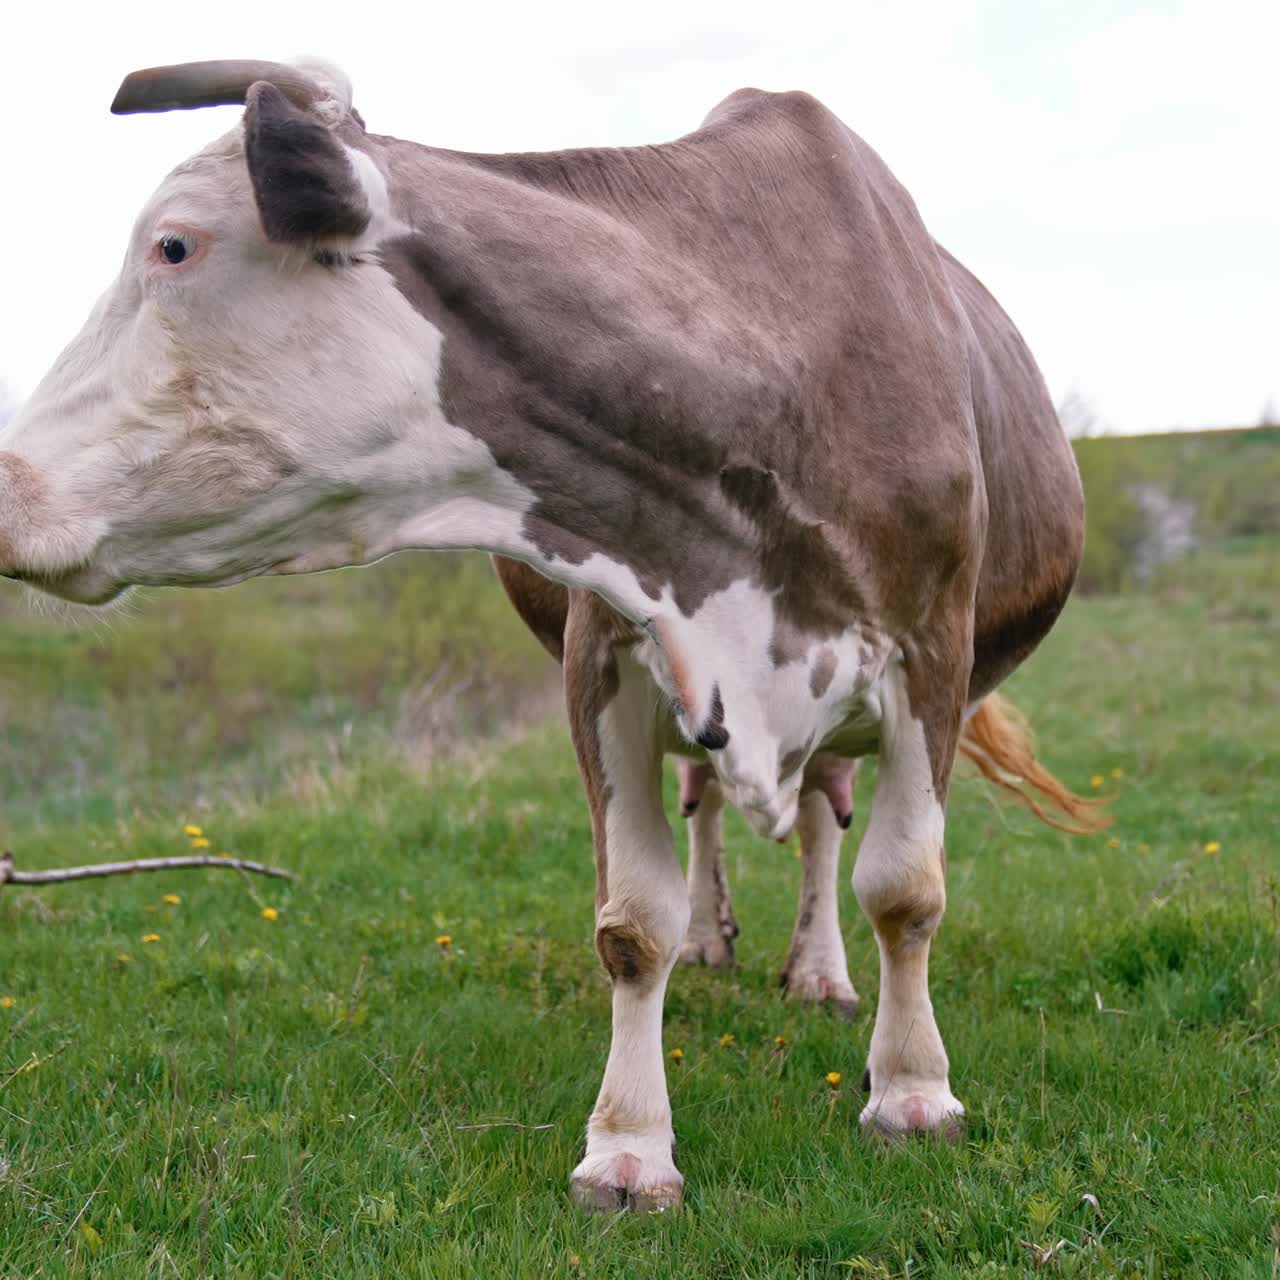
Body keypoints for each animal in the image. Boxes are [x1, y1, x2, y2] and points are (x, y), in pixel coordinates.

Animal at [0, 58, 1103, 1211]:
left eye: (172, 246)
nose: (6, 485)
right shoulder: (607, 657)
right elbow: (633, 919)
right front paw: (629, 1145)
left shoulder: (931, 657)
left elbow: (902, 887)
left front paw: (913, 1090)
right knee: (713, 803)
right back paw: (717, 935)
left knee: (816, 821)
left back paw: (819, 970)